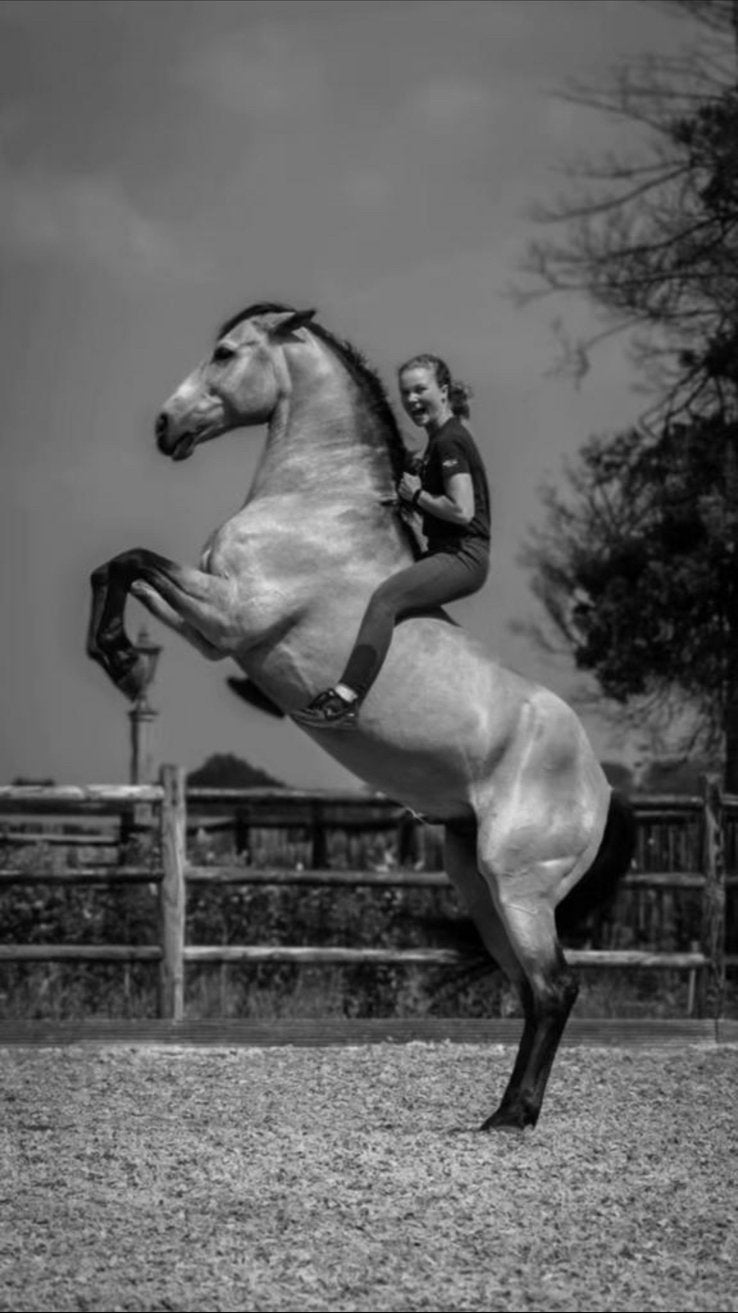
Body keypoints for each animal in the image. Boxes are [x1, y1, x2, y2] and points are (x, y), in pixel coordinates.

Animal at [87, 301, 635, 1130]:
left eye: (226, 353)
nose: (165, 424)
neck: (315, 499)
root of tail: (601, 786)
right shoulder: (213, 629)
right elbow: (119, 566)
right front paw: (120, 655)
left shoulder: (232, 616)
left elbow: (131, 560)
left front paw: (119, 656)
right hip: (479, 884)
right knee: (530, 990)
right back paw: (506, 1109)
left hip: (520, 884)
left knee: (555, 987)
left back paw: (512, 1118)